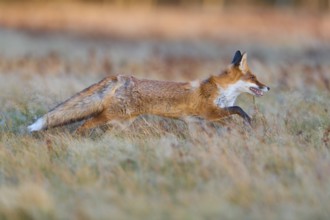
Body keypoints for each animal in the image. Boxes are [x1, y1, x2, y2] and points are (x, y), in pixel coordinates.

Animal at [28, 50, 270, 133]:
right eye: (254, 78)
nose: (268, 87)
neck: (222, 91)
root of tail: (122, 77)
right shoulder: (210, 112)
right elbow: (238, 109)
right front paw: (249, 122)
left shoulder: (196, 121)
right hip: (111, 116)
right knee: (85, 123)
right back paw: (78, 138)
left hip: (122, 122)